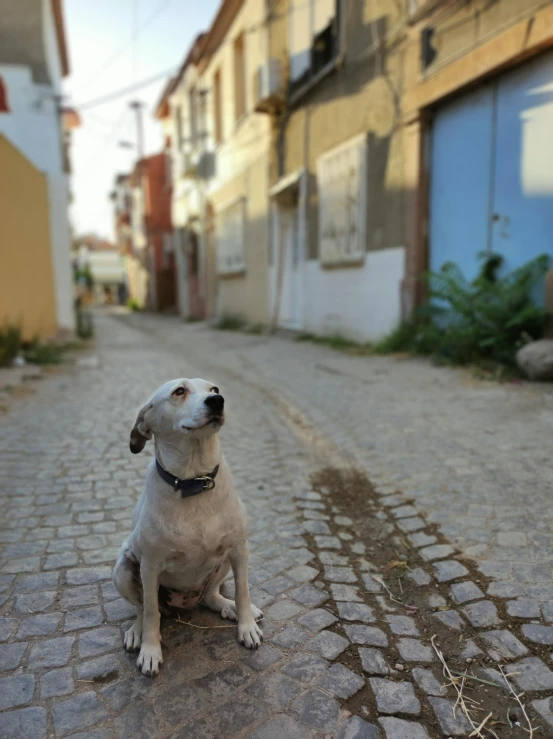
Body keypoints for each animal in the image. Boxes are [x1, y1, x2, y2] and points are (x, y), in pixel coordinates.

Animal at [112, 382, 264, 676]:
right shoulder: (150, 565)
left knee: (211, 596)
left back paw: (229, 607)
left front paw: (247, 625)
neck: (195, 480)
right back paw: (137, 632)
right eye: (179, 391)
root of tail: (185, 603)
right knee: (142, 608)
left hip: (222, 565)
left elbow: (243, 591)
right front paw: (150, 649)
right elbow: (151, 612)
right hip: (123, 569)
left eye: (214, 388)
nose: (217, 400)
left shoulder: (239, 549)